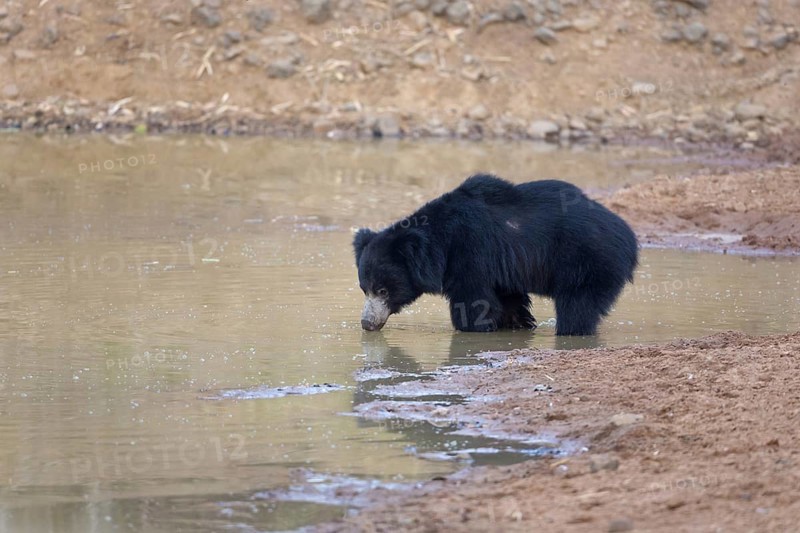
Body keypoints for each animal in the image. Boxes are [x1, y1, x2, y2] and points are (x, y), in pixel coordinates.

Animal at [353, 174, 638, 336]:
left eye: (383, 290)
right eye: (364, 289)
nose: (367, 323)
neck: (440, 245)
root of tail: (628, 236)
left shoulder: (471, 253)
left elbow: (472, 300)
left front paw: (474, 328)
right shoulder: (504, 269)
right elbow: (509, 301)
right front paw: (516, 325)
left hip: (588, 261)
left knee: (578, 305)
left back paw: (571, 331)